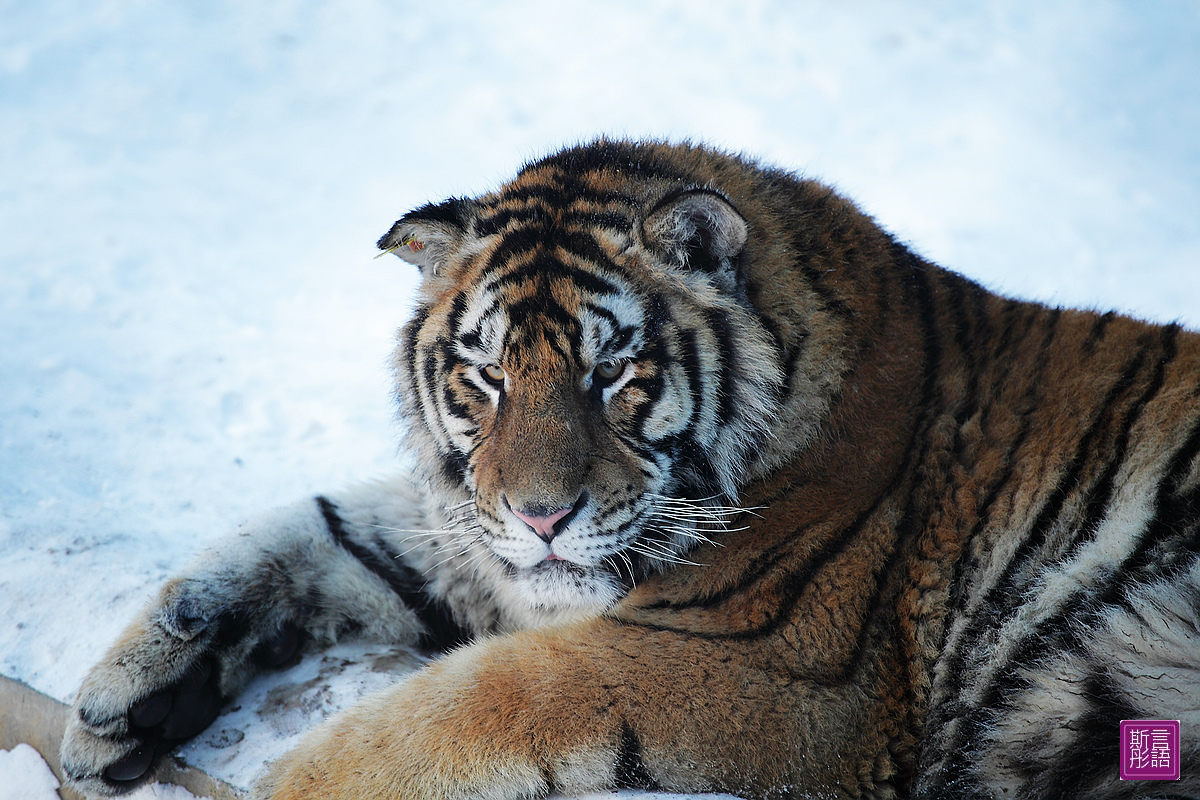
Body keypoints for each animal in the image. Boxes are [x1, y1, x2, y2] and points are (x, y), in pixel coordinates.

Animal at [60, 140, 1200, 796]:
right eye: (486, 374)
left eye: (611, 371)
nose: (541, 518)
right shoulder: (478, 541)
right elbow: (309, 532)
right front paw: (124, 699)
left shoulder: (766, 667)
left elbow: (472, 701)